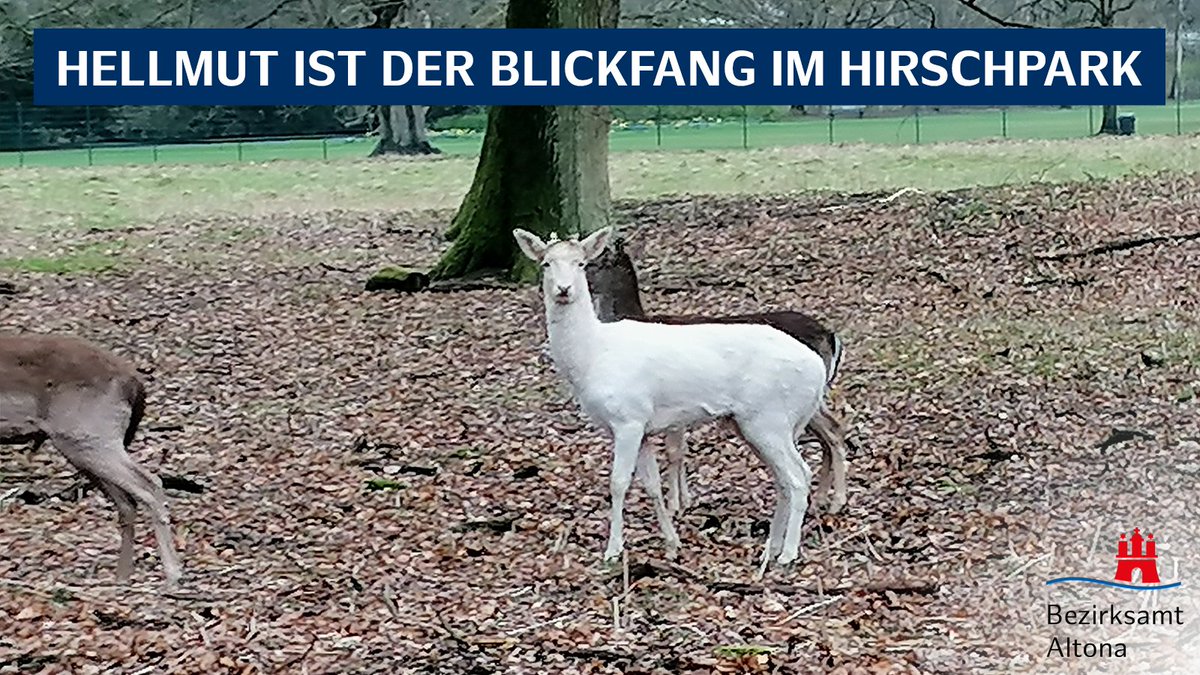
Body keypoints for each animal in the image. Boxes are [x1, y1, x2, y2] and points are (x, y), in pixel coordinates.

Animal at [0, 333, 182, 587]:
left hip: (90, 439)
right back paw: (122, 576)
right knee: (127, 502)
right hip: (84, 450)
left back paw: (173, 574)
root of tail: (134, 384)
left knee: (149, 484)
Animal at [585, 234, 849, 518]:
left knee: (830, 432)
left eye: (593, 263)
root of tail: (831, 336)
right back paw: (822, 499)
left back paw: (835, 500)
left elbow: (674, 451)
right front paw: (685, 499)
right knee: (830, 430)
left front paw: (676, 505)